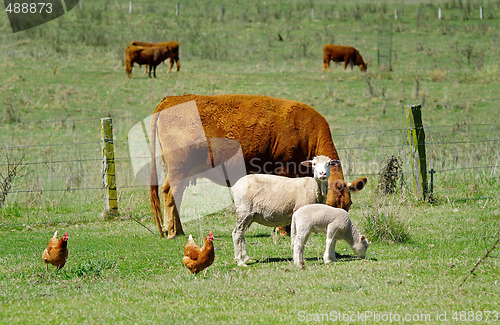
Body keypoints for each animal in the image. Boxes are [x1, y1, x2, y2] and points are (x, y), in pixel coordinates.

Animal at [149, 93, 368, 238]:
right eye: (330, 205)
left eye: (348, 206)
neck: (305, 129)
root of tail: (171, 99)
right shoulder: (285, 169)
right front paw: (283, 230)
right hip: (178, 167)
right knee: (170, 192)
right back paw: (172, 231)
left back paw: (178, 230)